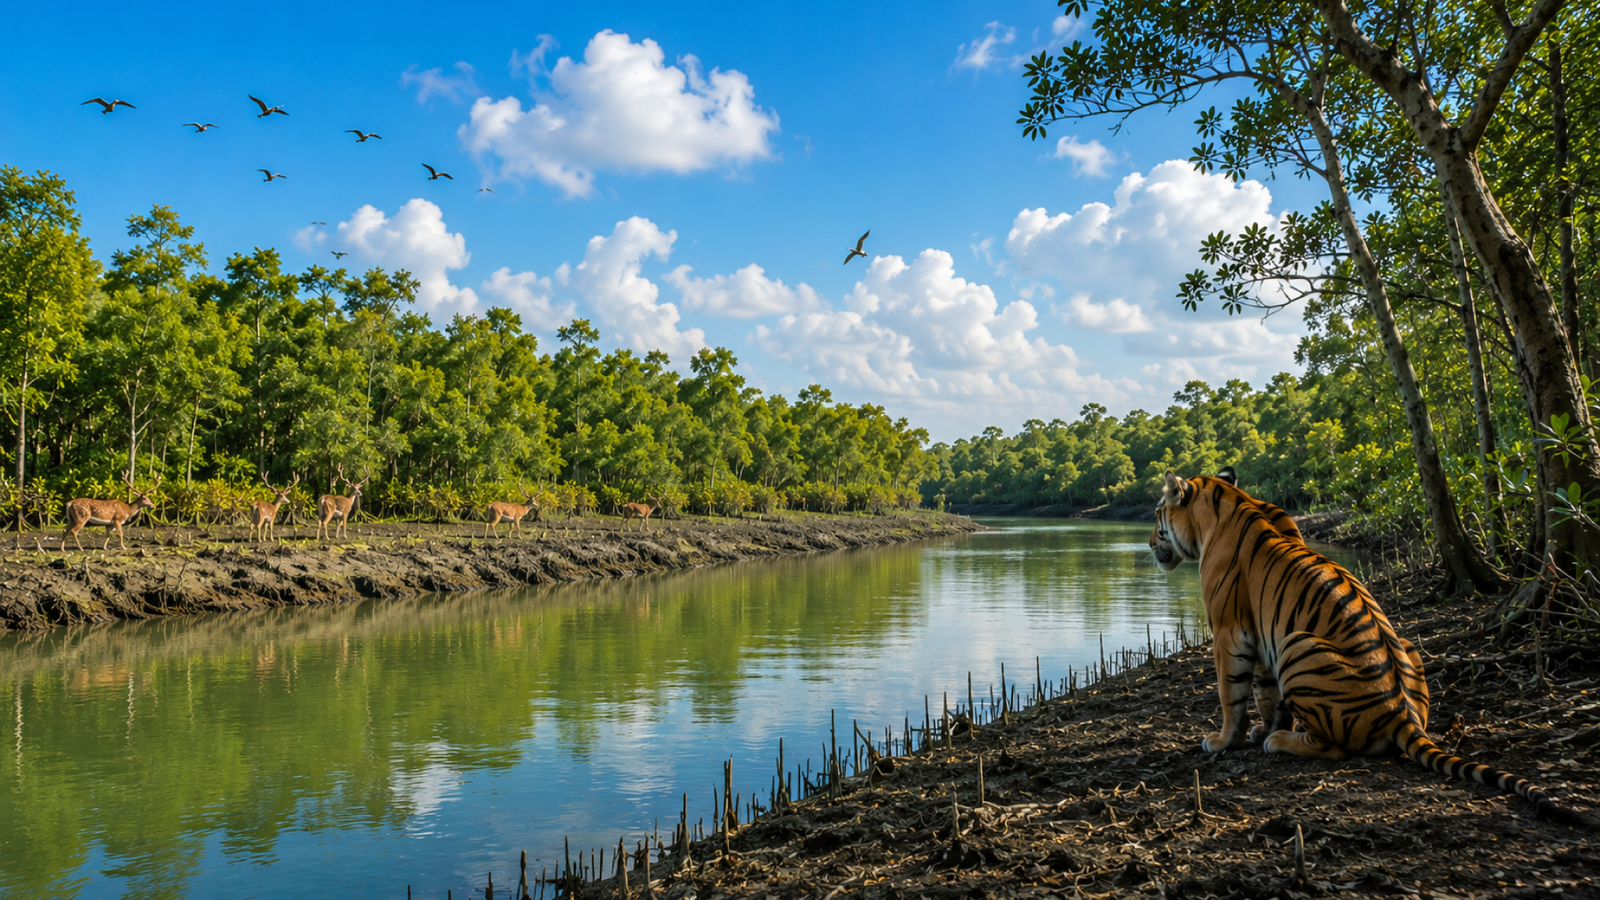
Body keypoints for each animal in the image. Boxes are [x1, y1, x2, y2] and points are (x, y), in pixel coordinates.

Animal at [1150, 467, 1584, 824]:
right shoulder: (1260, 634)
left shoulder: (1229, 631)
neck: (1226, 501)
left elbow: (1232, 694)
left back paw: (1281, 742)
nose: (1149, 542)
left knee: (1334, 748)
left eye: (1156, 517)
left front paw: (1226, 741)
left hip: (1296, 644)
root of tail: (1402, 715)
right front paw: (1261, 729)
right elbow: (1266, 694)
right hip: (1401, 643)